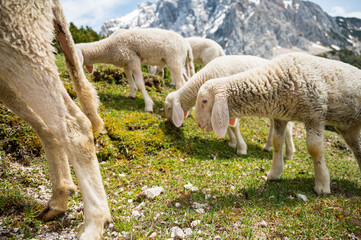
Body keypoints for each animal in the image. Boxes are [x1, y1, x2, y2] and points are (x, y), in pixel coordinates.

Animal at [165, 55, 294, 158]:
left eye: (169, 108)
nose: (169, 123)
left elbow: (234, 126)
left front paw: (241, 148)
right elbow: (226, 124)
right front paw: (232, 142)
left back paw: (289, 153)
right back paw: (268, 146)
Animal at [195, 52, 361, 195]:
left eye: (204, 101)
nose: (198, 123)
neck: (276, 79)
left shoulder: (315, 113)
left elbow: (314, 149)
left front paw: (322, 184)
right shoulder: (281, 116)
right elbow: (277, 142)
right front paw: (274, 173)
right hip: (349, 127)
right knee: (357, 148)